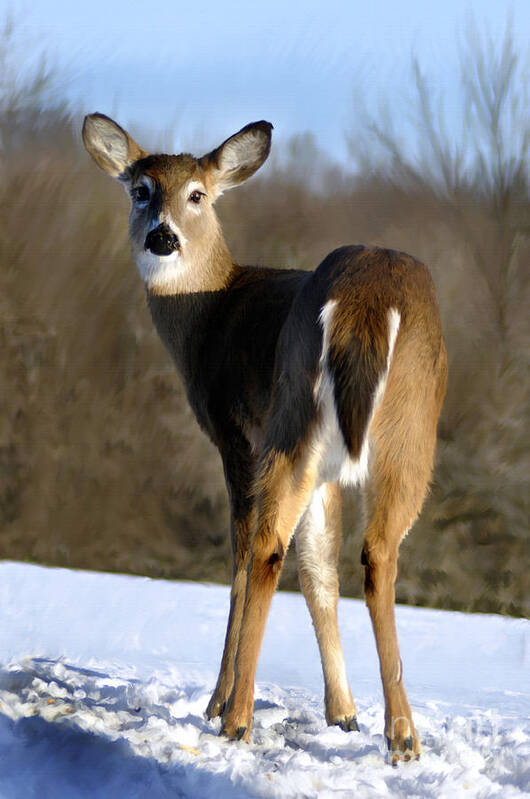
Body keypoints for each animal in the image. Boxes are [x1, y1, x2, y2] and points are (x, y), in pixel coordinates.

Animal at [82, 114, 446, 768]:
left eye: (197, 194)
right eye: (141, 190)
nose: (162, 238)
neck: (212, 312)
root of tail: (366, 305)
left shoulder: (233, 432)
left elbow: (256, 558)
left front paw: (221, 703)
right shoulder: (294, 459)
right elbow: (318, 568)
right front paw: (342, 713)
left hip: (303, 422)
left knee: (272, 546)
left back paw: (240, 718)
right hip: (387, 432)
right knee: (361, 552)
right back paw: (395, 733)